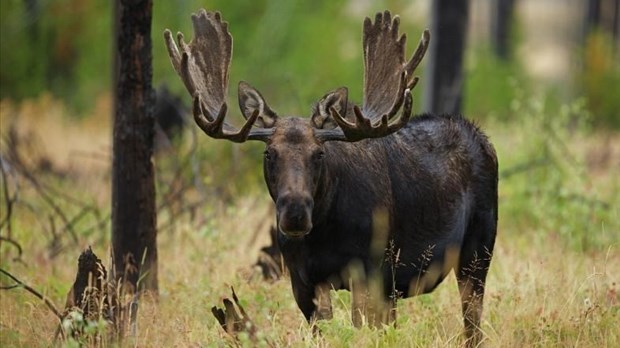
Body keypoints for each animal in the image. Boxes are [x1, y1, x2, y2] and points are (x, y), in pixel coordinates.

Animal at [163, 9, 498, 346]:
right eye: (269, 153)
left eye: (319, 153)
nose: (295, 213)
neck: (324, 235)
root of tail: (482, 137)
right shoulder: (304, 280)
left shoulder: (370, 271)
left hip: (477, 249)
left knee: (472, 321)